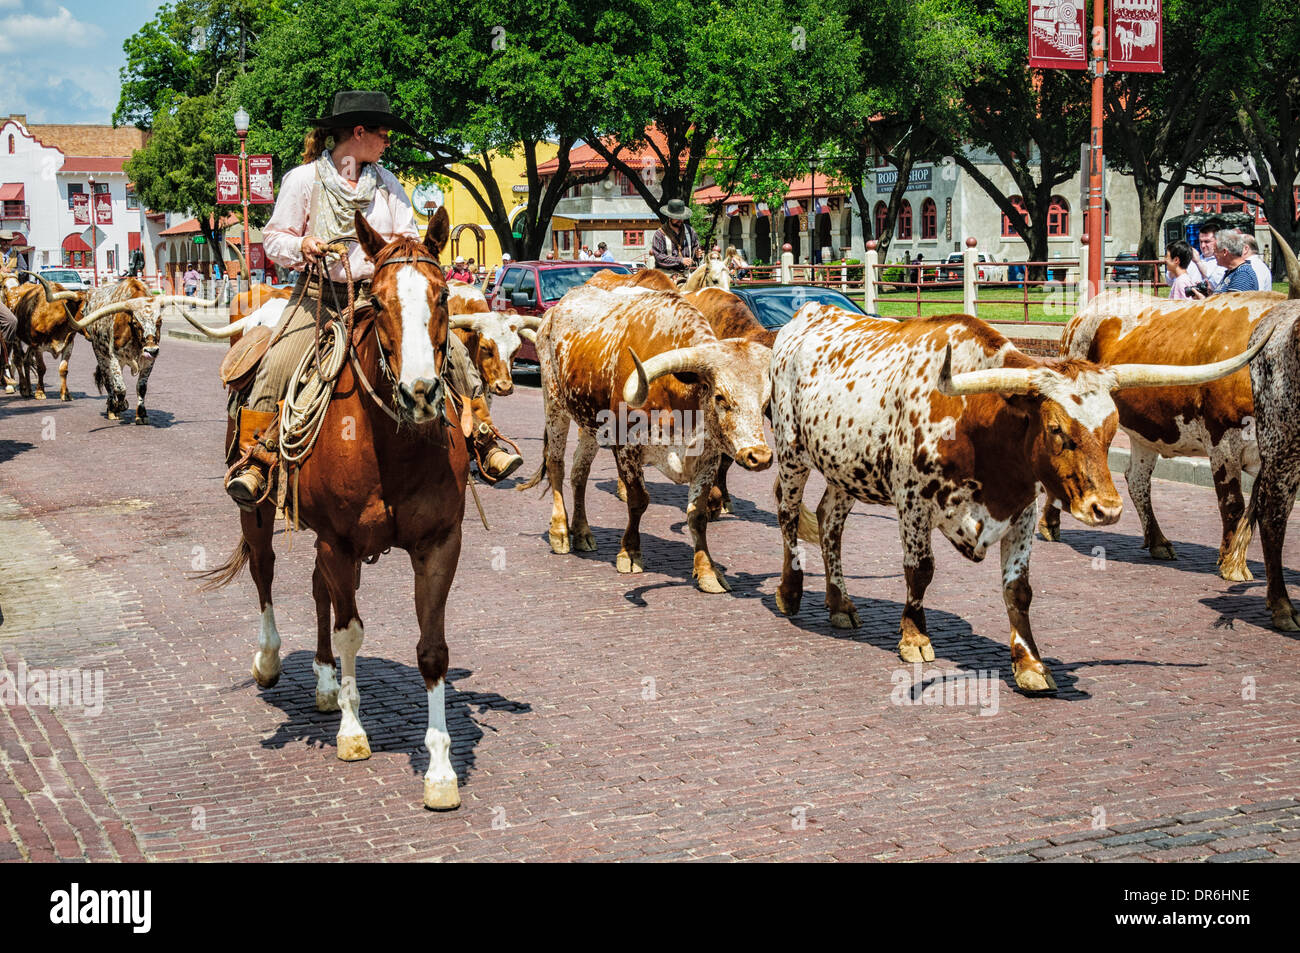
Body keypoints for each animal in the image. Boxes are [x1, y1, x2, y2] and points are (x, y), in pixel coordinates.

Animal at [519, 283, 772, 592]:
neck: (677, 392)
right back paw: (560, 532)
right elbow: (638, 500)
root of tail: (557, 308)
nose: (759, 456)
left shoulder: (707, 458)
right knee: (556, 465)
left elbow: (697, 514)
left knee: (580, 471)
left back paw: (581, 531)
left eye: (765, 401)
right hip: (554, 403)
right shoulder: (626, 447)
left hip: (590, 422)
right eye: (720, 397)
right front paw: (629, 553)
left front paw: (707, 571)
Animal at [770, 307, 1270, 691]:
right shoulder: (911, 503)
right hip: (792, 454)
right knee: (789, 515)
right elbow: (920, 571)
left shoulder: (1022, 513)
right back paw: (790, 592)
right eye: (1056, 430)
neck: (976, 422)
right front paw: (914, 638)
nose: (1106, 510)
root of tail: (809, 313)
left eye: (1112, 429)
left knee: (829, 521)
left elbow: (1018, 590)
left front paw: (1030, 664)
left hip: (845, 471)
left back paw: (840, 604)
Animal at [1041, 287, 1287, 579]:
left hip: (1143, 433)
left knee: (1137, 480)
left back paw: (1157, 540)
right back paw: (1050, 524)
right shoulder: (1222, 439)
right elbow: (1233, 503)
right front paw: (1230, 564)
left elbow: (1257, 506)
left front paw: (1235, 560)